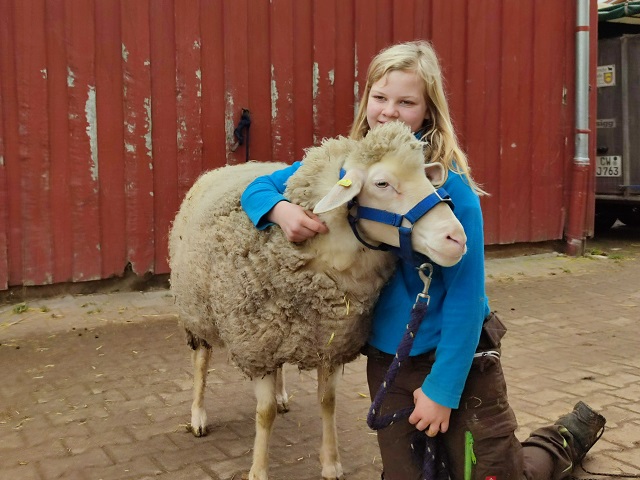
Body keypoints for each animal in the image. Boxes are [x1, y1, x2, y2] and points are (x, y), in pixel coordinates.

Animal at [168, 121, 467, 480]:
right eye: (382, 183)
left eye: (426, 176)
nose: (457, 238)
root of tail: (226, 167)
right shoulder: (256, 347)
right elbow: (264, 413)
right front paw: (258, 470)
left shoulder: (329, 343)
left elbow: (327, 402)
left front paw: (331, 463)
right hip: (195, 310)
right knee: (201, 361)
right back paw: (198, 416)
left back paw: (282, 395)